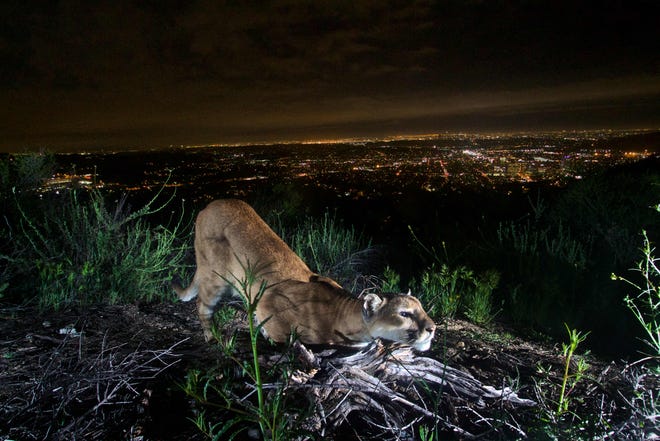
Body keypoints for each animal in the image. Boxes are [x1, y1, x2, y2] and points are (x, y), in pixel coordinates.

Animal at [173, 199, 436, 351]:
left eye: (422, 309)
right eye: (404, 313)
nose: (432, 328)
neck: (342, 314)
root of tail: (209, 206)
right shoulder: (269, 304)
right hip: (215, 278)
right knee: (202, 306)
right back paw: (212, 337)